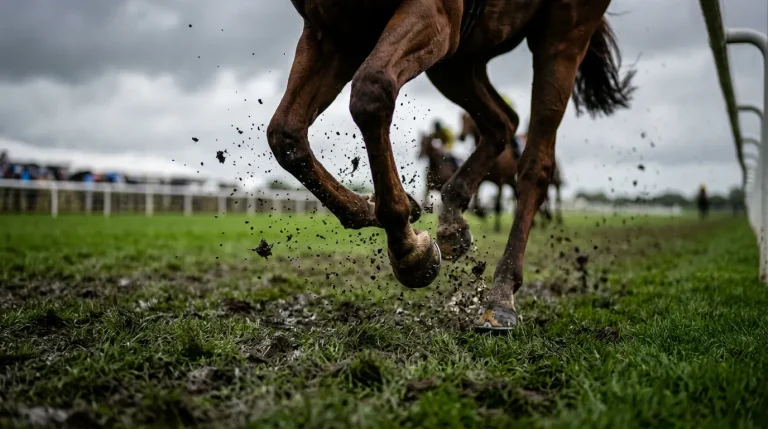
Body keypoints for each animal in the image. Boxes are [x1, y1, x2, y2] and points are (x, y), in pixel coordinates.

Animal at [267, 0, 636, 332]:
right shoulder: (328, 33)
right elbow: (285, 135)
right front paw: (371, 209)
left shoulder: (431, 10)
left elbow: (371, 91)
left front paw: (408, 250)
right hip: (459, 59)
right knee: (502, 122)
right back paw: (453, 222)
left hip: (563, 35)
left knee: (535, 166)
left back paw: (501, 296)